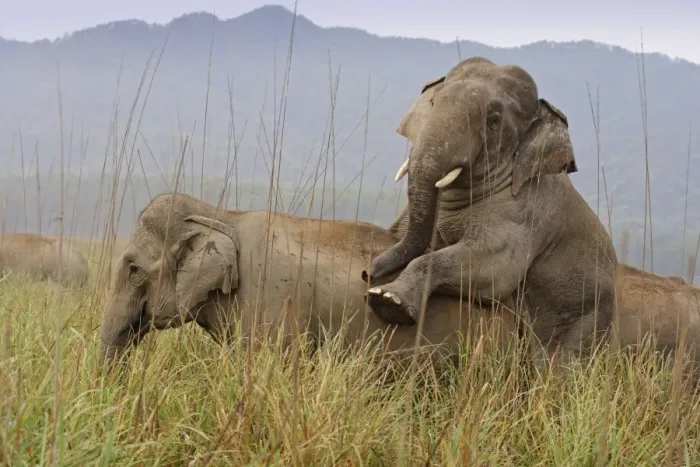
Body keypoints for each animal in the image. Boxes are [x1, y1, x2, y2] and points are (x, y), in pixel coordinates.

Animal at [361, 56, 617, 371]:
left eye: (493, 121)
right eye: (433, 102)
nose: (367, 272)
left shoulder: (526, 214)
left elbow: (496, 267)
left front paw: (387, 301)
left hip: (588, 319)